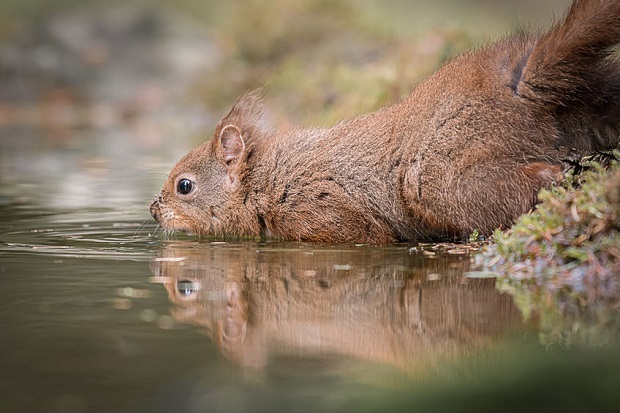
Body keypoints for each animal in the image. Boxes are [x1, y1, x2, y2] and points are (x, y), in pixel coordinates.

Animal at [150, 0, 620, 243]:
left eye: (184, 185)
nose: (154, 211)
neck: (265, 179)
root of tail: (518, 85)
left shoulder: (324, 212)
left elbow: (370, 236)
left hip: (440, 176)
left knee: (522, 182)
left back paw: (560, 174)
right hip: (594, 101)